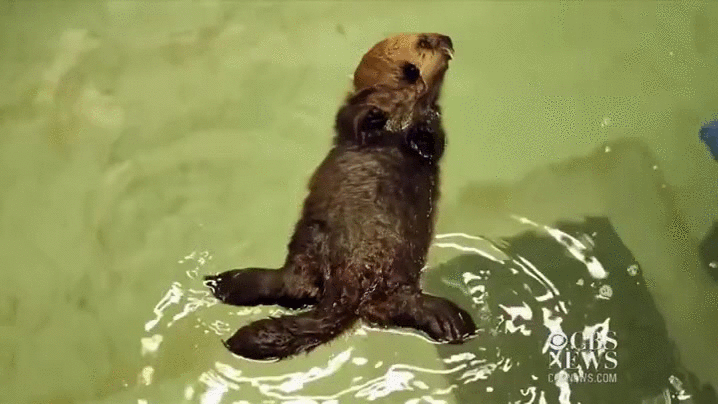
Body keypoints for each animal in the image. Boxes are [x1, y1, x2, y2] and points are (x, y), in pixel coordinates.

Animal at [205, 33, 476, 360]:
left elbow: (434, 143)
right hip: (311, 241)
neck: (400, 109)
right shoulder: (352, 108)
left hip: (391, 282)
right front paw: (374, 116)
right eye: (425, 41)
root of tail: (348, 291)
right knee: (294, 286)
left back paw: (453, 323)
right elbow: (350, 120)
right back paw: (228, 282)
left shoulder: (434, 119)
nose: (447, 40)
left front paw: (418, 129)